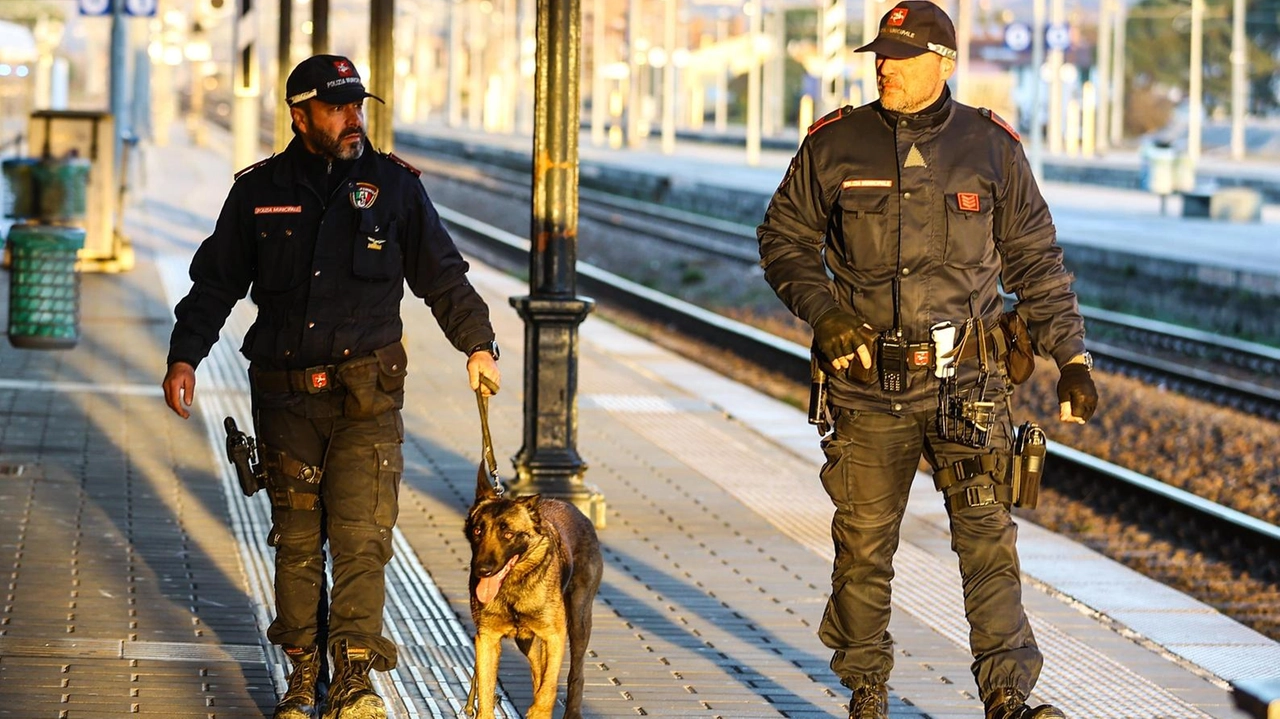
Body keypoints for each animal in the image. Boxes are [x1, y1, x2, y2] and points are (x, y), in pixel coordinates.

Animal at [463, 460, 601, 711]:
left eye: (508, 534)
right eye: (478, 531)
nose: (482, 570)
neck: (512, 589)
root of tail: (571, 506)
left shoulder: (555, 636)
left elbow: (548, 689)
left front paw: (540, 710)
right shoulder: (486, 639)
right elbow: (486, 695)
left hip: (578, 622)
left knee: (574, 675)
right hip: (526, 641)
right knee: (538, 671)